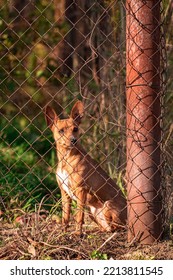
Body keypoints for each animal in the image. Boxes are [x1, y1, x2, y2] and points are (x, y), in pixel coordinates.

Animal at [45, 100, 125, 234]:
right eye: (61, 131)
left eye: (75, 129)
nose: (73, 140)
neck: (66, 159)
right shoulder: (64, 193)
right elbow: (65, 216)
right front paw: (63, 232)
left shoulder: (81, 190)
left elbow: (78, 216)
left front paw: (78, 233)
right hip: (92, 213)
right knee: (107, 227)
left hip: (108, 204)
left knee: (117, 227)